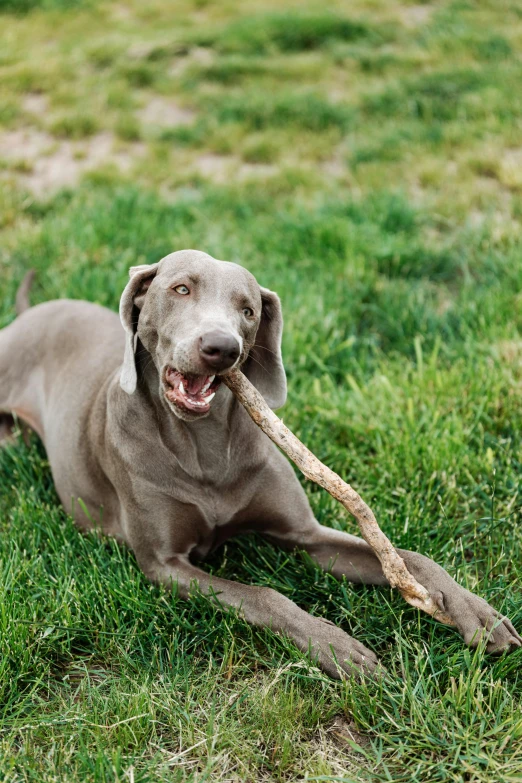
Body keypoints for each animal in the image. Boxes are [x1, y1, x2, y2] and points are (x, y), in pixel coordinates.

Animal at [0, 251, 516, 680]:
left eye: (248, 310)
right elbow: (266, 595)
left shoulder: (306, 535)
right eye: (180, 289)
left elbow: (411, 557)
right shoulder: (164, 565)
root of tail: (30, 312)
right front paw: (334, 645)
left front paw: (475, 612)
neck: (204, 445)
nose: (221, 347)